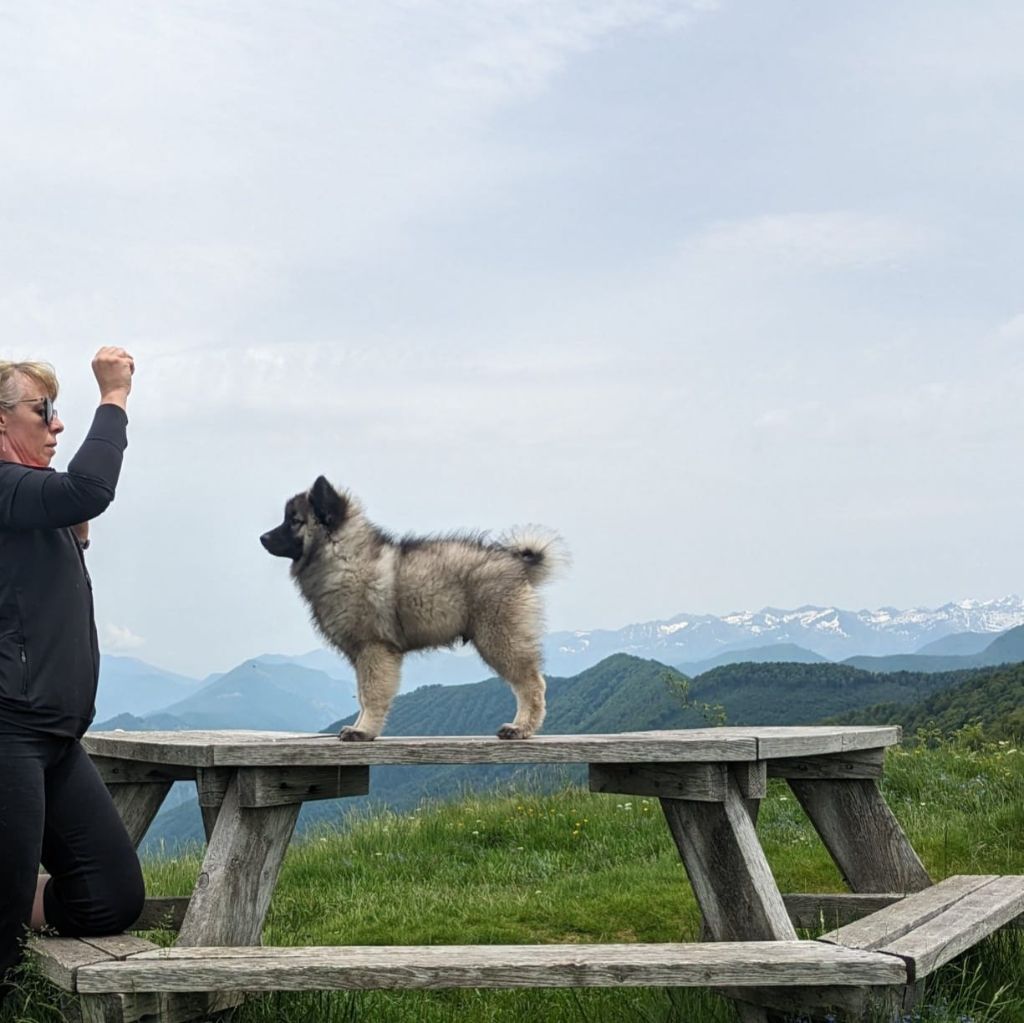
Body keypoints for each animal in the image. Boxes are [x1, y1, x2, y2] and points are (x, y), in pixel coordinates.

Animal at [260, 479, 569, 745]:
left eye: (294, 521)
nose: (262, 537)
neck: (343, 556)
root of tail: (518, 564)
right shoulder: (363, 654)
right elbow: (361, 694)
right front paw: (359, 727)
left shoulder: (374, 649)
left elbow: (371, 694)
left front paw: (364, 731)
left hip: (499, 638)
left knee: (531, 684)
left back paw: (521, 728)